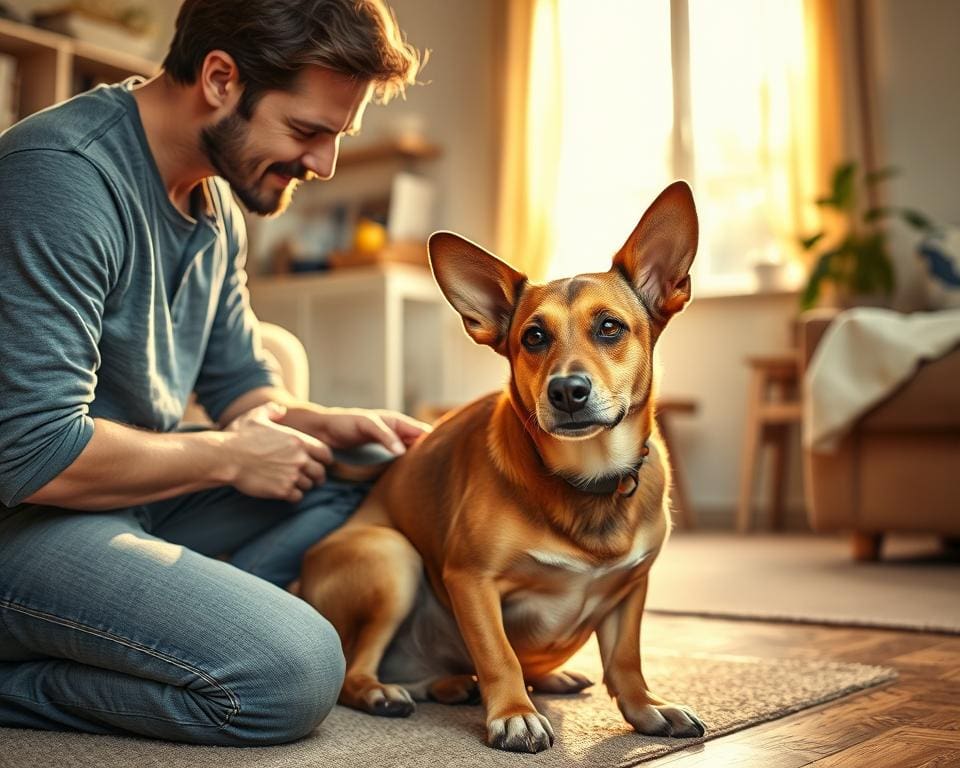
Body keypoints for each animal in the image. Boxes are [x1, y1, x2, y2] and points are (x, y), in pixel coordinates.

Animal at [300, 182, 704, 756]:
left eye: (609, 327)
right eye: (533, 337)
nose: (567, 391)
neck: (589, 478)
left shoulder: (631, 586)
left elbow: (626, 660)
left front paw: (647, 708)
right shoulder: (471, 580)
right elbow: (498, 655)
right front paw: (514, 714)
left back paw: (480, 683)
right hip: (391, 556)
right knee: (356, 670)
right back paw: (384, 691)